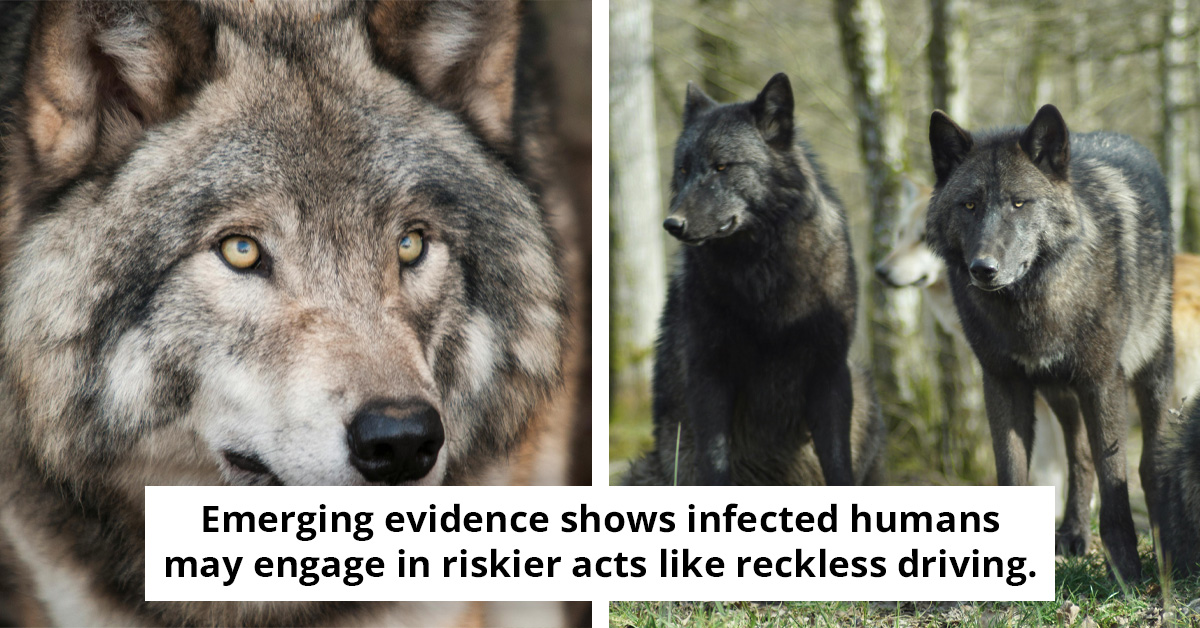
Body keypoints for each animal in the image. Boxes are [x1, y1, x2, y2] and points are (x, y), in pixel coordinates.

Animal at [623, 73, 884, 486]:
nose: (672, 224)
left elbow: (838, 463)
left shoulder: (829, 371)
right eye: (683, 170)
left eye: (722, 167)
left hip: (863, 388)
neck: (763, 273)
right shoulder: (709, 372)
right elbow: (715, 462)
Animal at [926, 104, 1174, 581]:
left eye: (1019, 202)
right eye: (969, 204)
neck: (1032, 305)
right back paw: (1074, 533)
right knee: (1079, 458)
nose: (983, 268)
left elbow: (1115, 478)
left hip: (1150, 372)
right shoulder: (1003, 383)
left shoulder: (1102, 381)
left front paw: (1126, 572)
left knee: (1149, 459)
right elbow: (1013, 471)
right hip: (1060, 393)